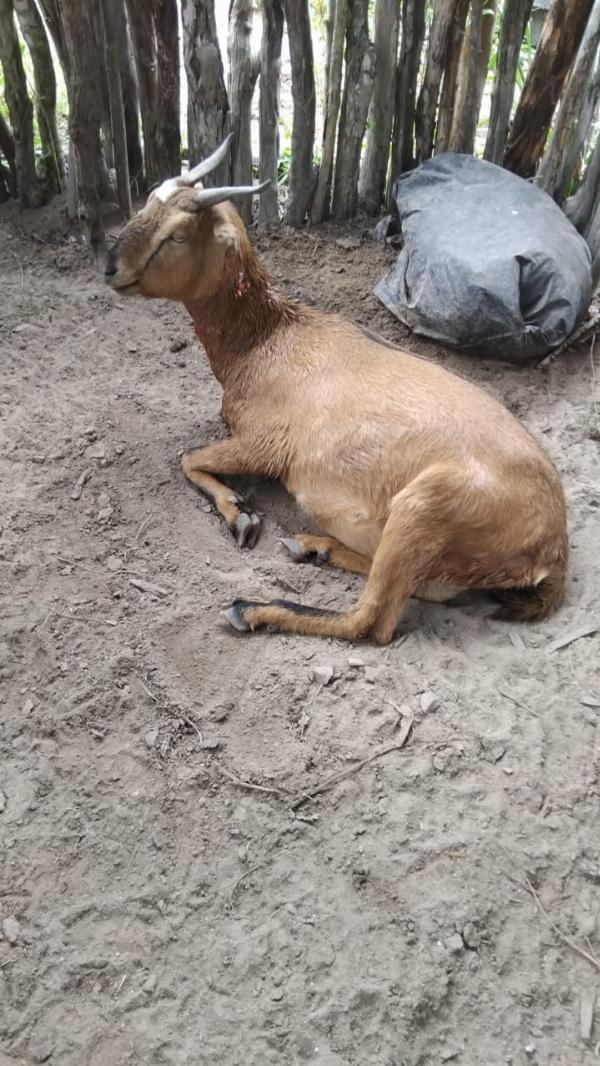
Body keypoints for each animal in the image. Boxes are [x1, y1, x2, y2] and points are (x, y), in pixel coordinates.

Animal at [105, 136, 568, 644]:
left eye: (177, 235)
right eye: (149, 202)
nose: (111, 267)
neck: (267, 342)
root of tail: (554, 551)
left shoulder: (267, 445)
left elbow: (187, 458)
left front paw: (240, 515)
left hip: (422, 509)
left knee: (373, 621)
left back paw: (253, 607)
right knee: (424, 590)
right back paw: (314, 547)